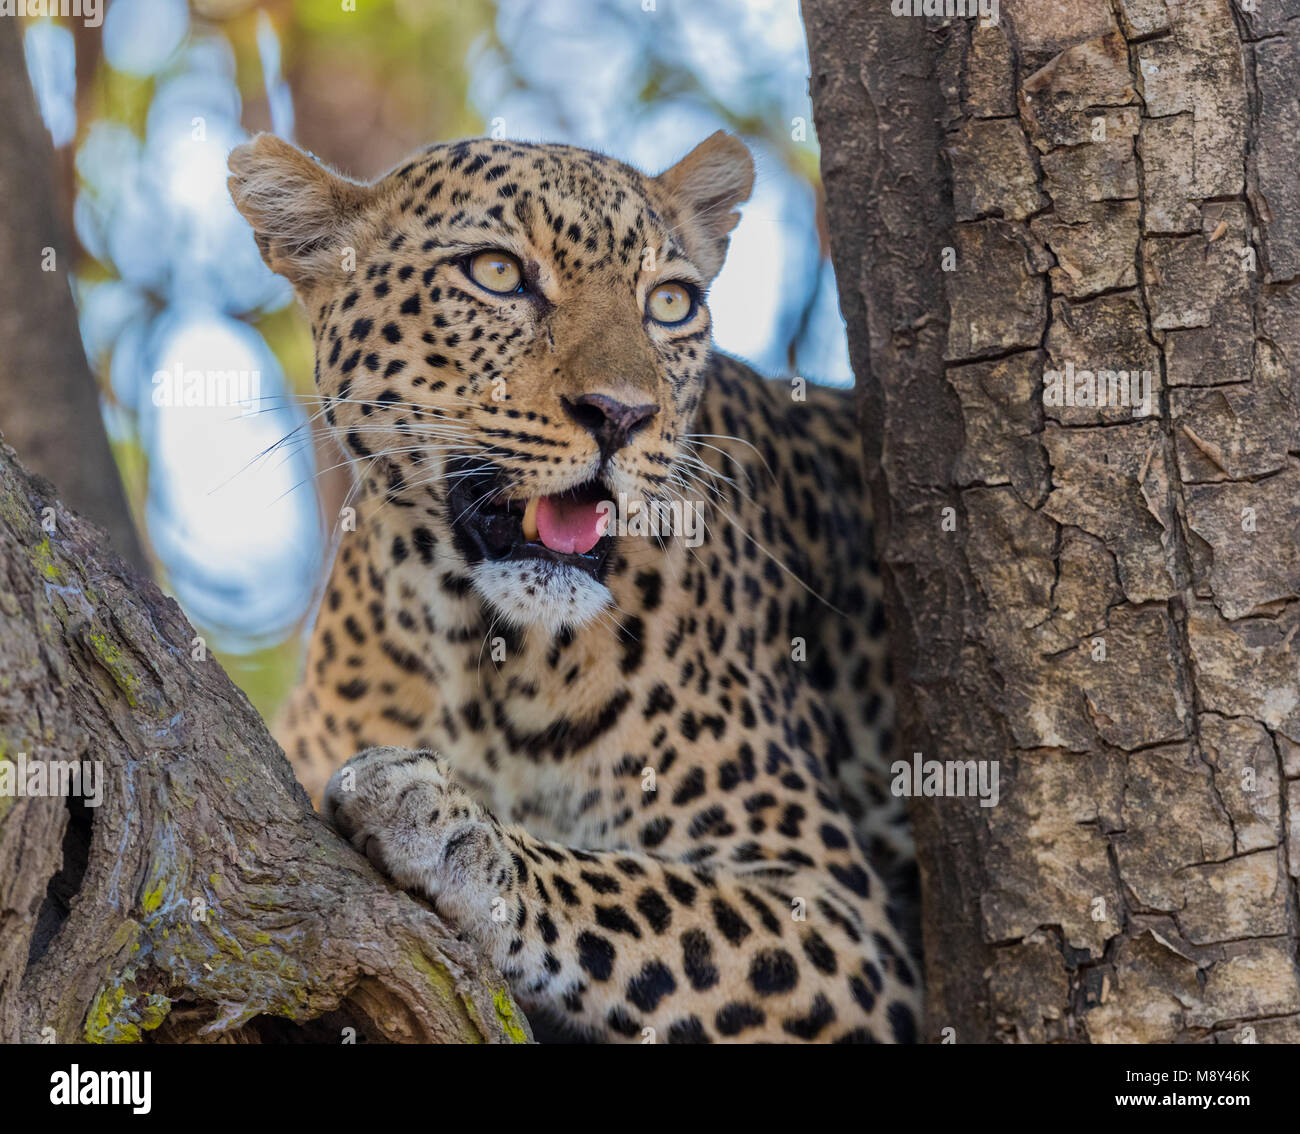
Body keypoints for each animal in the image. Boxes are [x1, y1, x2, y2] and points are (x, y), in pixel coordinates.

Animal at [227, 129, 920, 1043]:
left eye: (670, 303)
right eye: (496, 274)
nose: (620, 415)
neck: (484, 652)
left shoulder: (842, 922)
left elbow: (647, 898)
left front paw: (457, 835)